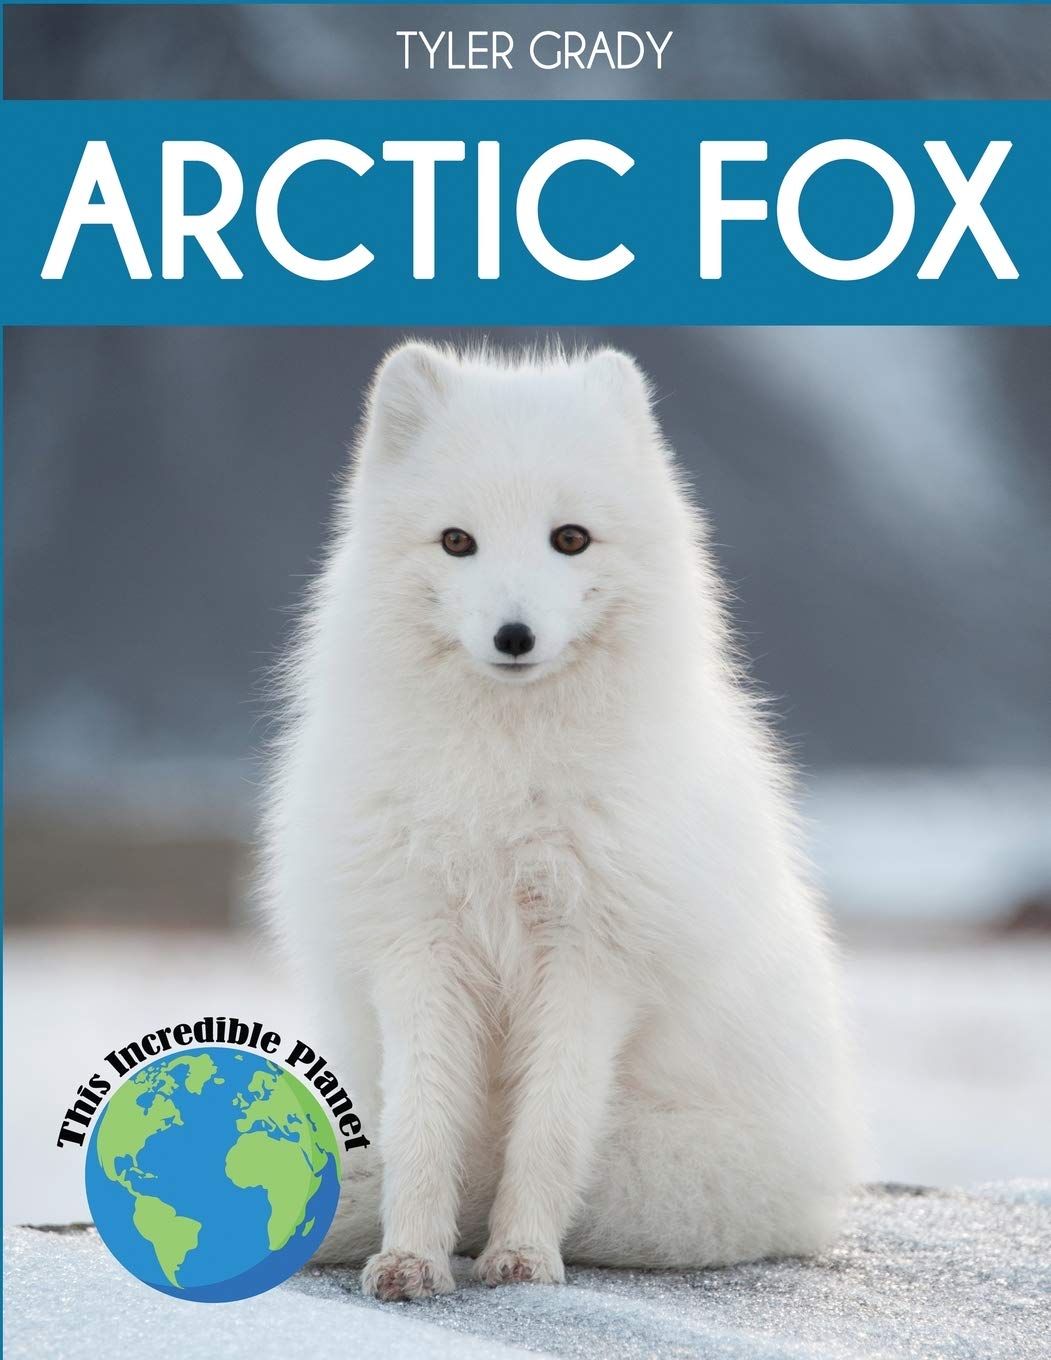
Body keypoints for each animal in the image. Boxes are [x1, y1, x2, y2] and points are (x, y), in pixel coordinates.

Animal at [261, 340, 858, 1301]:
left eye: (568, 537)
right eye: (457, 540)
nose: (514, 635)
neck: (504, 781)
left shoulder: (593, 960)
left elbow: (547, 1128)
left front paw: (521, 1255)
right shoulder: (416, 945)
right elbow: (422, 1124)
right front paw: (410, 1257)